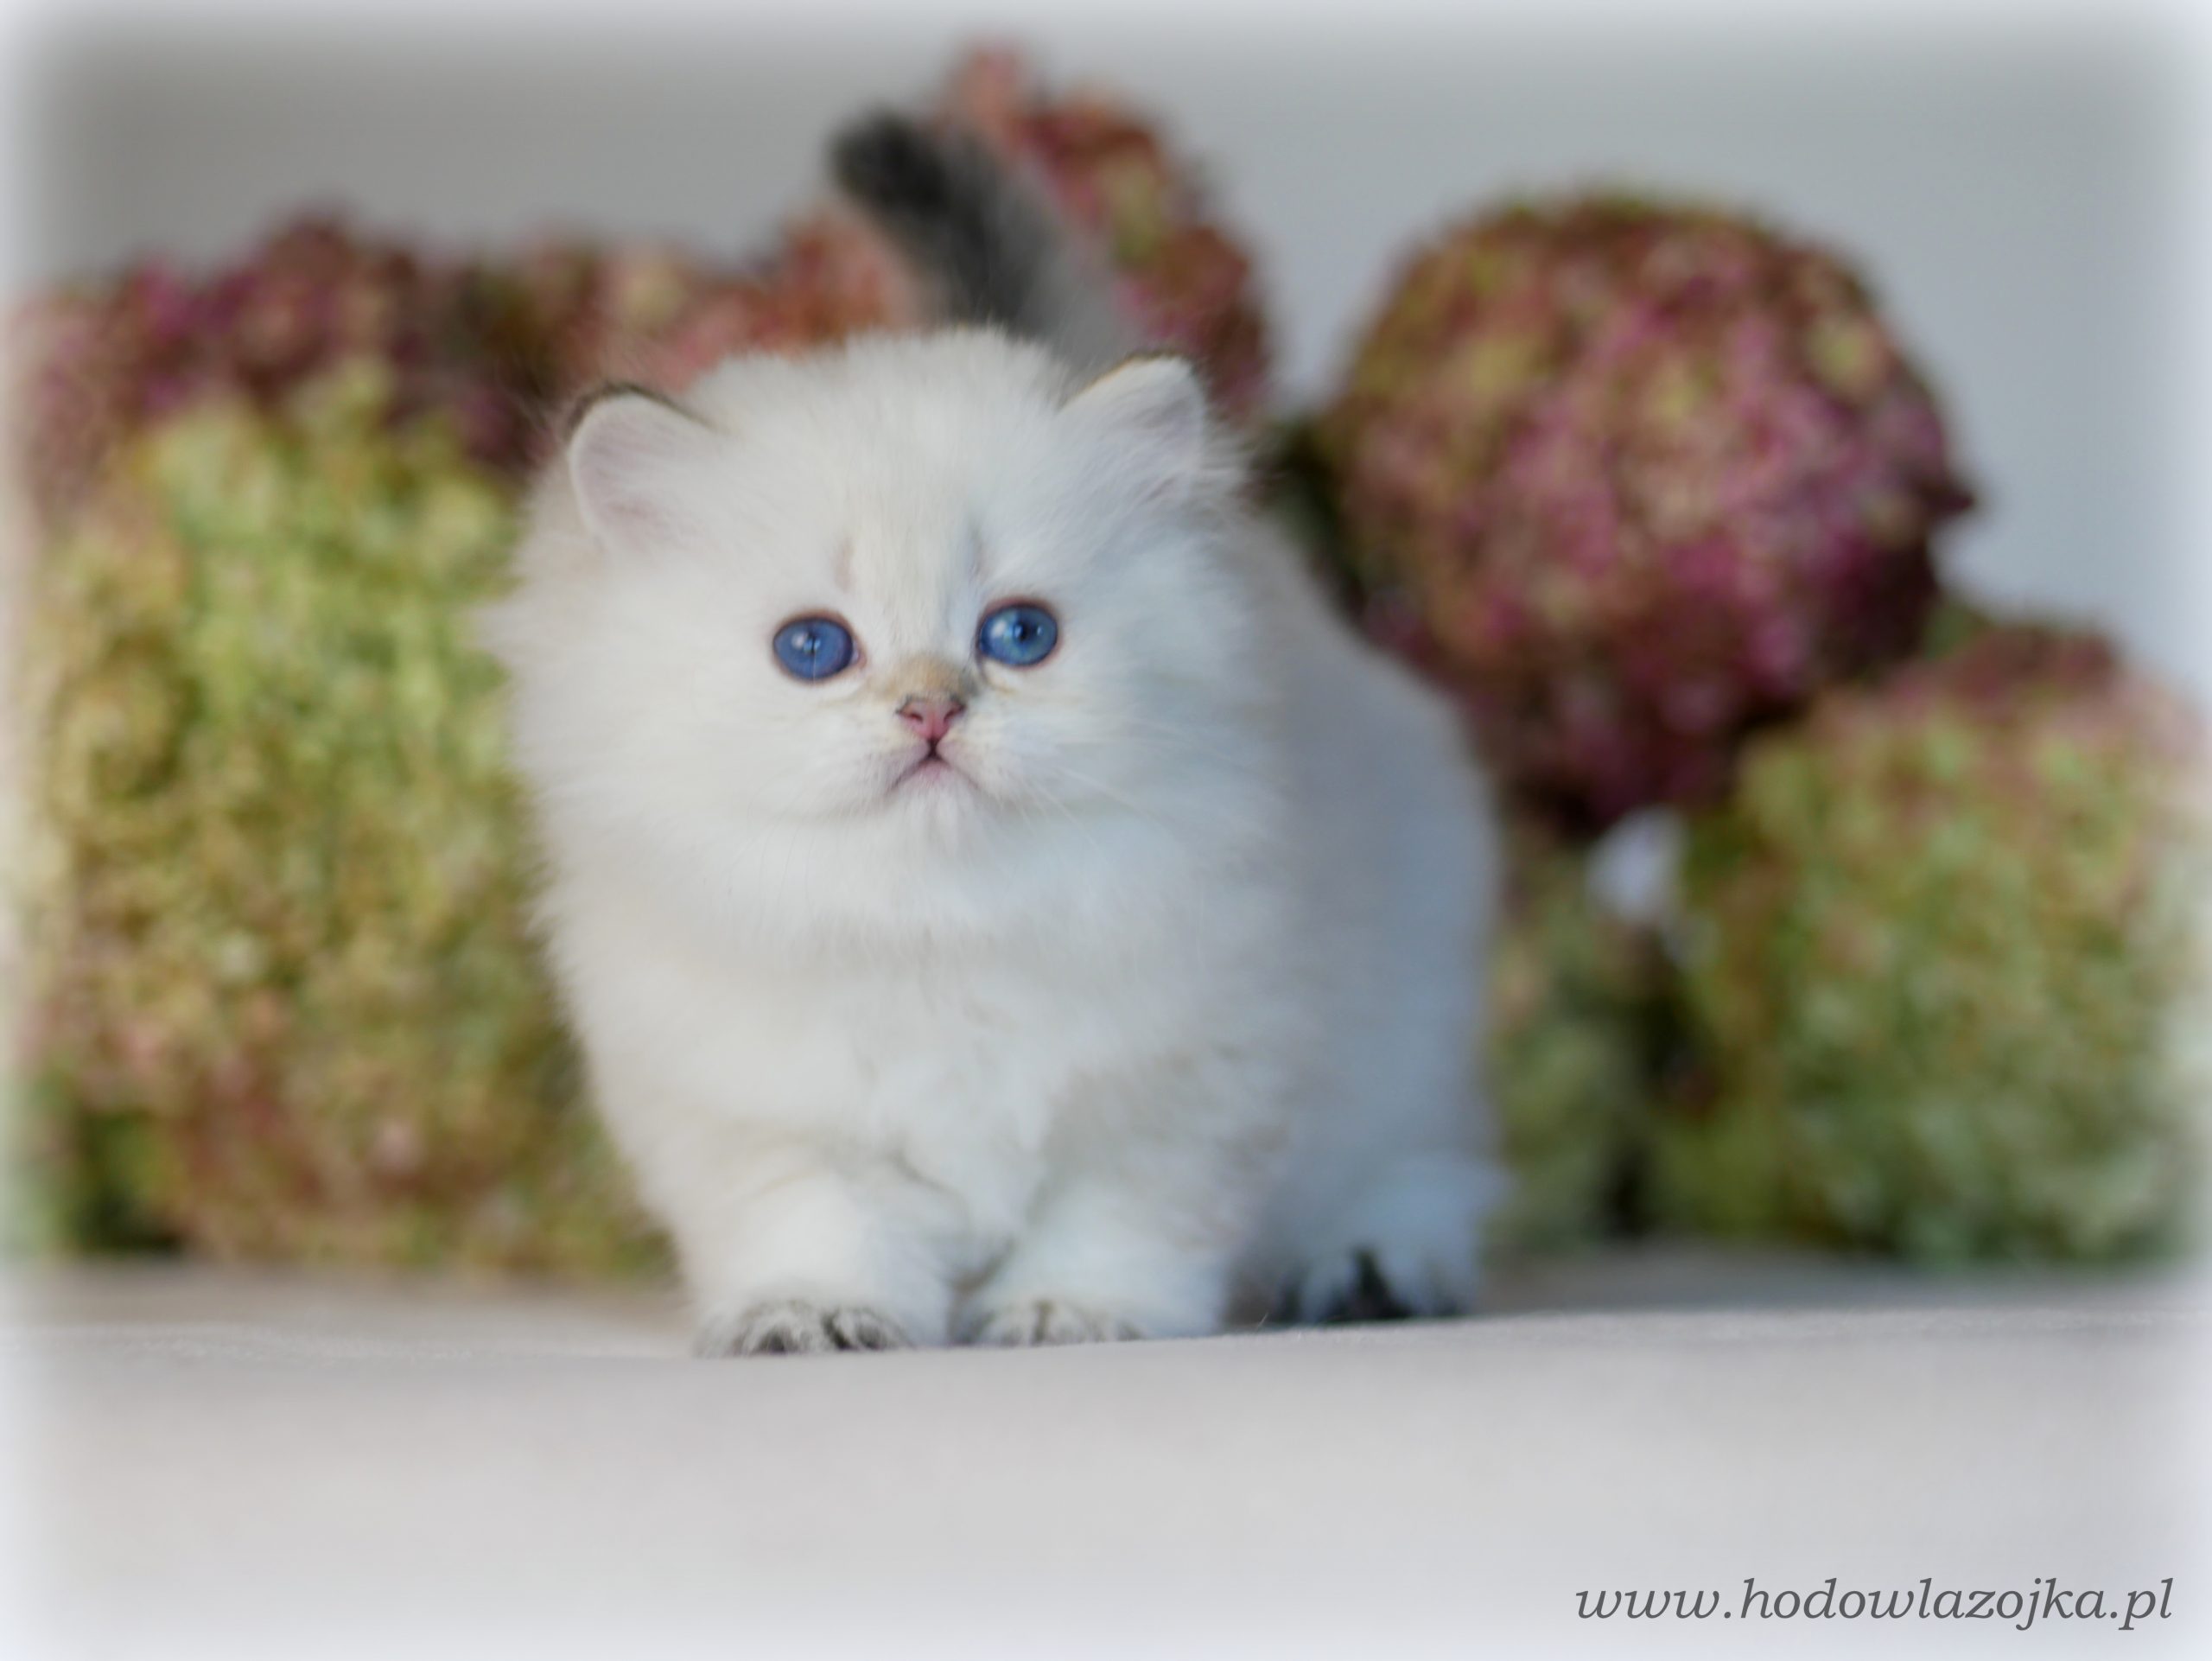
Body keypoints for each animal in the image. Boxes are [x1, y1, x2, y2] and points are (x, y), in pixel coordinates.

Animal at [481, 114, 1502, 1354]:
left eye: (1019, 634)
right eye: (813, 647)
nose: (931, 709)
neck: (938, 933)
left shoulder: (1189, 1084)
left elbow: (1115, 1217)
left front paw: (1074, 1311)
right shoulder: (750, 1110)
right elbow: (815, 1218)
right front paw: (813, 1312)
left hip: (1408, 1034)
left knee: (1427, 1168)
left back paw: (1367, 1270)